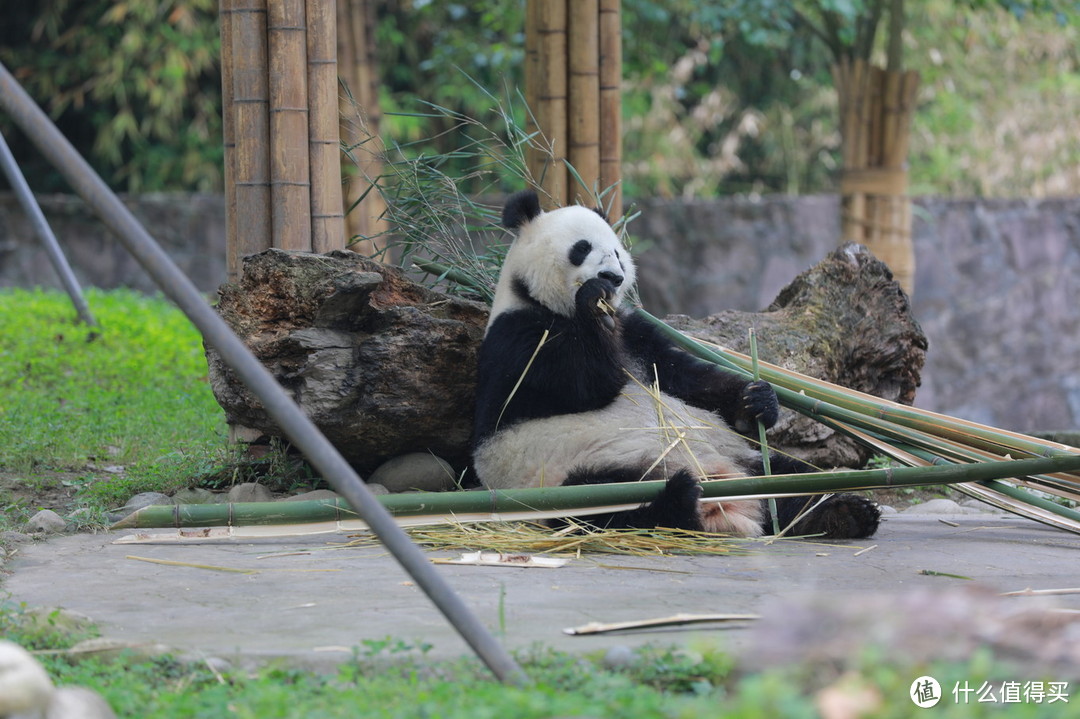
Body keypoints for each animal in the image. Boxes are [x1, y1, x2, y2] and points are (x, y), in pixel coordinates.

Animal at [473, 190, 876, 537]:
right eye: (582, 248)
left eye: (616, 251)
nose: (612, 278)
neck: (544, 301)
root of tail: (726, 497)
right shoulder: (520, 336)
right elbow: (585, 384)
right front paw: (593, 304)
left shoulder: (638, 335)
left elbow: (686, 378)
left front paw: (757, 401)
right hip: (563, 478)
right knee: (600, 506)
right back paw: (678, 499)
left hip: (744, 459)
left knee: (789, 477)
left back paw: (842, 513)